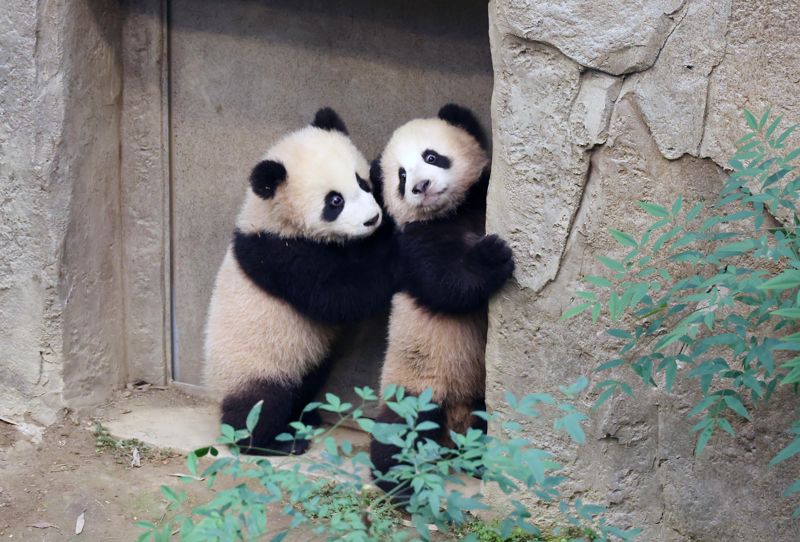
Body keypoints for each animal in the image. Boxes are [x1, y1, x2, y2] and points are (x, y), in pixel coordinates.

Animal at [205, 108, 396, 456]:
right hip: (255, 364)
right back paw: (273, 442)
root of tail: (215, 392)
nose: (371, 219)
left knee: (305, 383)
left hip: (303, 359)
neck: (273, 216)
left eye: (361, 181)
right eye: (334, 202)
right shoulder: (278, 256)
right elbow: (344, 296)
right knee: (261, 404)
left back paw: (306, 419)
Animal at [370, 104, 516, 500]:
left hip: (475, 393)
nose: (420, 187)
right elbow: (446, 285)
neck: (452, 211)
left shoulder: (478, 200)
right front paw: (492, 255)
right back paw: (401, 484)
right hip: (415, 384)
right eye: (401, 176)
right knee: (400, 432)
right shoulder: (415, 244)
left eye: (431, 157)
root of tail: (455, 426)